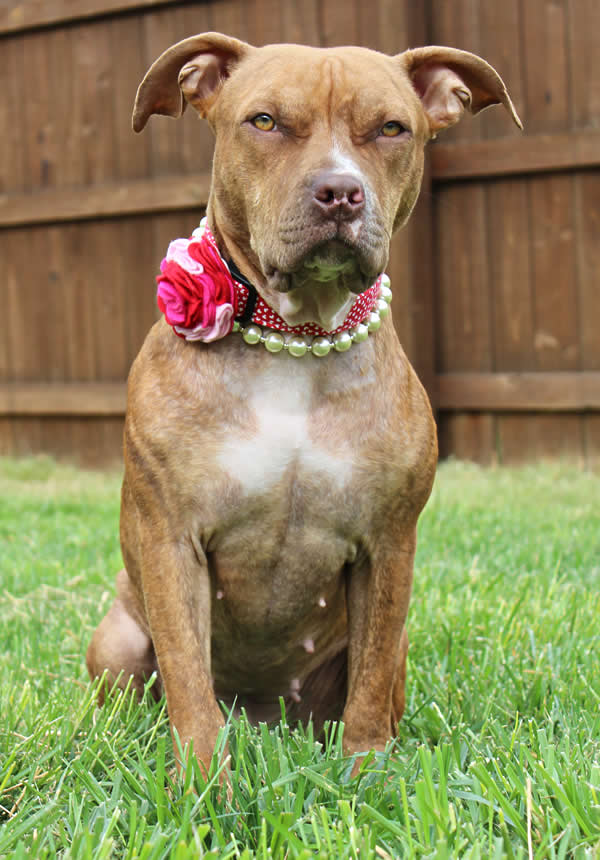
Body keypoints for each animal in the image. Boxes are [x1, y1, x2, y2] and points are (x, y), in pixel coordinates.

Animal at [86, 33, 521, 776]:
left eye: (391, 128)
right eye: (264, 121)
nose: (340, 191)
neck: (296, 339)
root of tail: (262, 713)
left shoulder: (387, 547)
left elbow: (369, 681)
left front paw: (368, 772)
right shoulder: (172, 540)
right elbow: (187, 677)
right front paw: (203, 782)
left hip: (390, 649)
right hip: (116, 637)